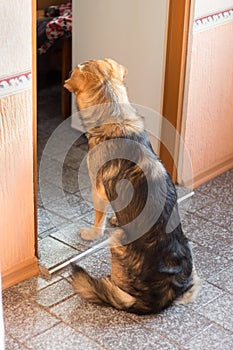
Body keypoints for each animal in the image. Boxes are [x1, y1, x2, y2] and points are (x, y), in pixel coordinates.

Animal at [63, 58, 200, 314]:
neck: (115, 117)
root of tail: (160, 298)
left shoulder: (98, 190)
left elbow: (98, 221)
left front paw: (91, 233)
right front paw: (116, 218)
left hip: (116, 242)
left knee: (118, 289)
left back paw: (104, 285)